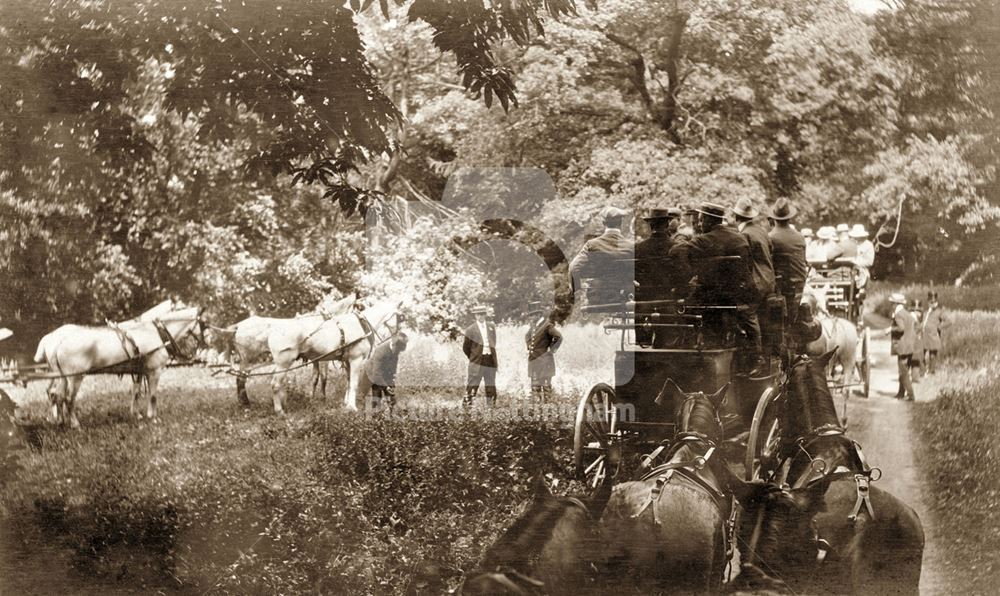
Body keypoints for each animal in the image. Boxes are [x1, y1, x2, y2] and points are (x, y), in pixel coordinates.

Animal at [32, 308, 205, 428]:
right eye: (203, 324)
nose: (203, 343)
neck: (157, 333)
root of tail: (58, 340)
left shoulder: (139, 372)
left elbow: (136, 393)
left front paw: (136, 415)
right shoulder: (154, 371)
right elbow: (153, 396)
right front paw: (153, 417)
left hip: (61, 376)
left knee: (57, 395)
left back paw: (60, 421)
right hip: (75, 377)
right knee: (68, 398)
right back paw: (74, 424)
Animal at [268, 298, 404, 414]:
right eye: (400, 317)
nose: (395, 341)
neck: (362, 325)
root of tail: (273, 331)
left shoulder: (348, 361)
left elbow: (349, 381)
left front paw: (347, 404)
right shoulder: (356, 359)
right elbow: (354, 383)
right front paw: (352, 407)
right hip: (284, 362)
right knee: (275, 385)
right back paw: (279, 411)